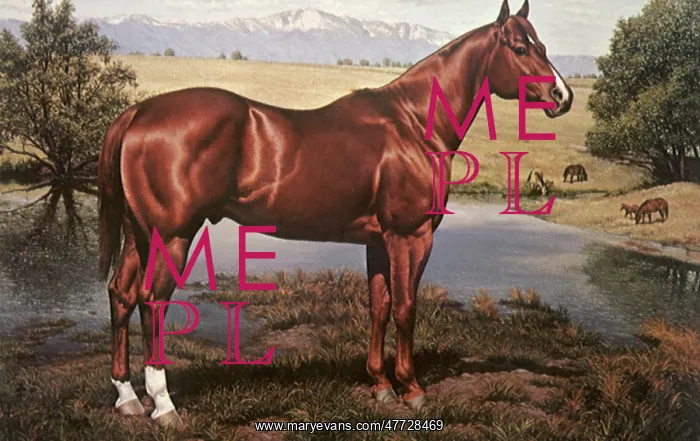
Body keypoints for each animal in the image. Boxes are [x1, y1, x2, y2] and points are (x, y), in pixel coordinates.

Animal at [97, 0, 573, 427]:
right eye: (519, 47)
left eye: (543, 44)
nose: (561, 96)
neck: (412, 124)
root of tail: (138, 112)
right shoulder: (411, 235)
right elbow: (406, 307)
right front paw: (412, 388)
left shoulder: (379, 240)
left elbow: (379, 306)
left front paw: (380, 385)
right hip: (172, 236)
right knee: (151, 302)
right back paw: (164, 407)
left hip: (138, 234)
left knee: (121, 293)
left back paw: (127, 398)